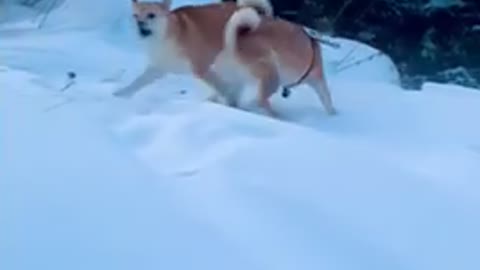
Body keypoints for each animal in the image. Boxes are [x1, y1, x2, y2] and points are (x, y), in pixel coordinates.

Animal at [110, 0, 272, 101]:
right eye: (135, 16)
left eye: (151, 15)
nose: (140, 26)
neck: (168, 37)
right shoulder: (157, 68)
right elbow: (137, 83)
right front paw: (120, 95)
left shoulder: (201, 68)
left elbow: (222, 87)